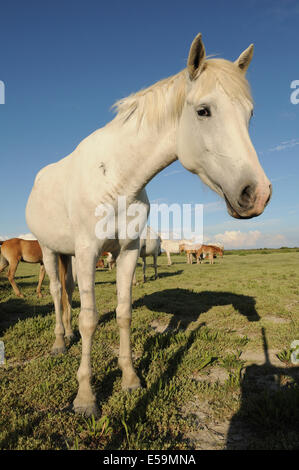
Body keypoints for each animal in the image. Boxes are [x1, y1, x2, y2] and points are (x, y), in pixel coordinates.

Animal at [25, 32, 272, 414]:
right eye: (203, 110)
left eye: (250, 114)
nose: (257, 193)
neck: (117, 178)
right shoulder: (89, 252)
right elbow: (90, 318)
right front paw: (85, 397)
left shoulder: (126, 252)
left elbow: (123, 313)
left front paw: (129, 379)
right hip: (51, 251)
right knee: (54, 292)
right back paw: (59, 343)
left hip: (69, 255)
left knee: (67, 292)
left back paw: (67, 335)